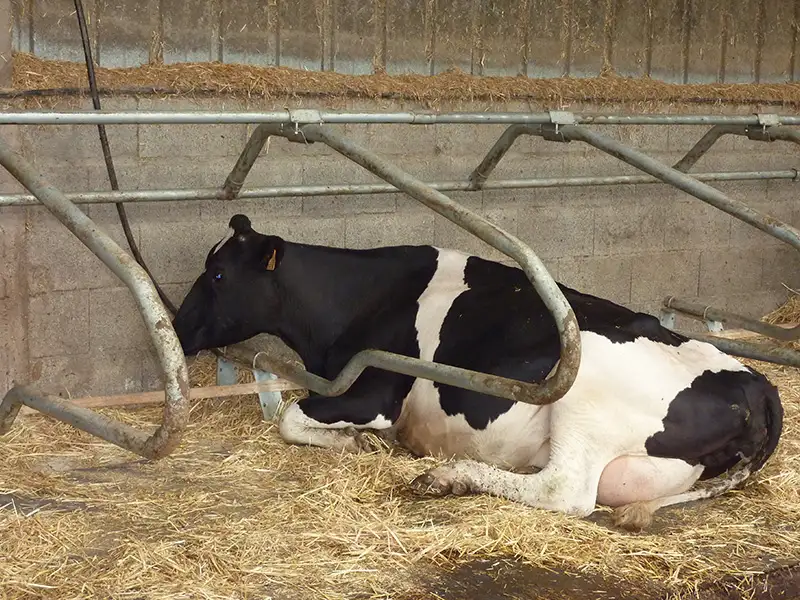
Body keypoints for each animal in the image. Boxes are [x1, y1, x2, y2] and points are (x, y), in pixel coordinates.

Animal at [171, 214, 783, 531]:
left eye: (219, 275)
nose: (175, 324)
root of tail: (755, 384)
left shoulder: (376, 392)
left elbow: (292, 417)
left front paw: (352, 443)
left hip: (586, 391)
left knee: (565, 492)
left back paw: (448, 477)